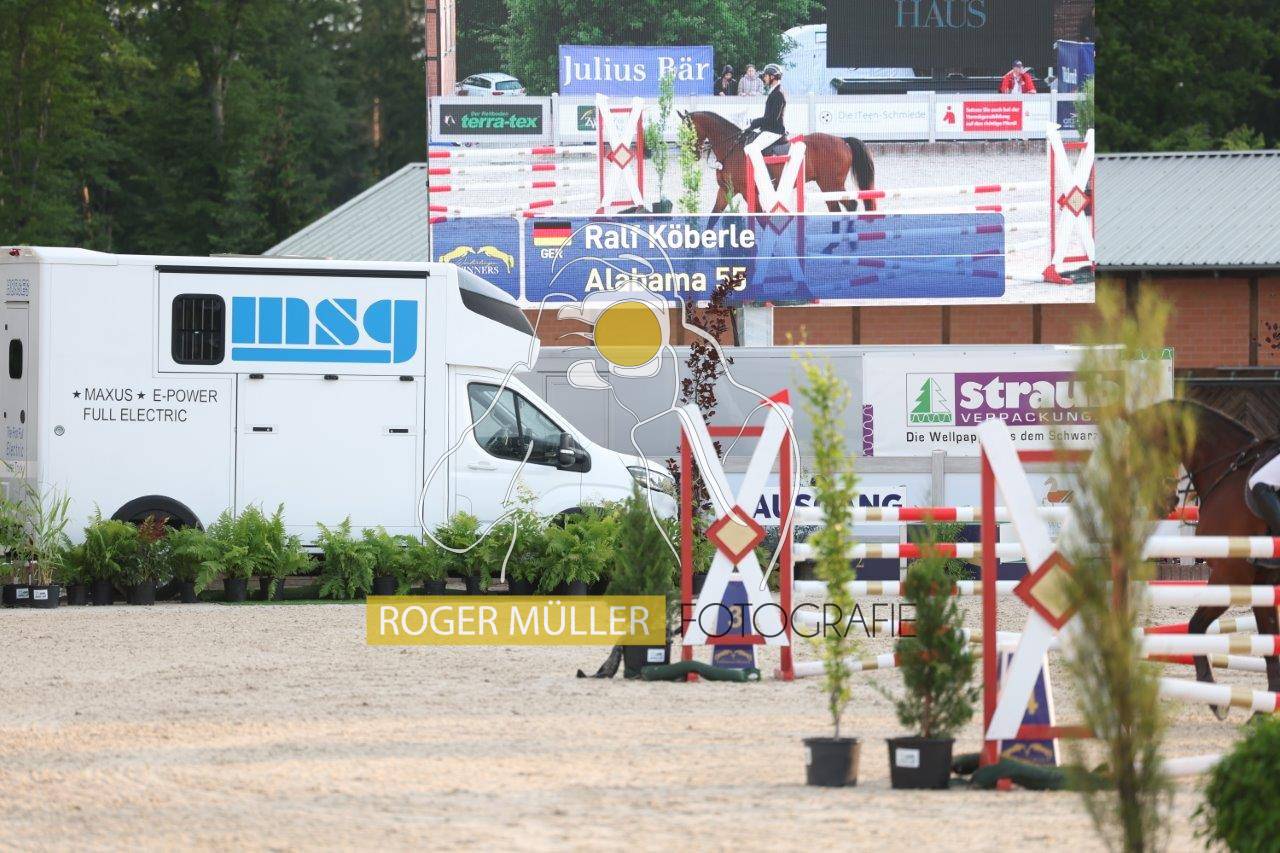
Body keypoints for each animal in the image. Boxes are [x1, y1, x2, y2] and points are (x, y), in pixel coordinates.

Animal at [679, 111, 876, 214]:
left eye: (689, 129)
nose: (691, 154)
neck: (731, 147)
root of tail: (842, 140)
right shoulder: (726, 190)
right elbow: (713, 216)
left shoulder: (746, 191)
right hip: (827, 185)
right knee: (836, 207)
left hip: (831, 184)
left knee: (849, 205)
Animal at [1155, 399, 1280, 718]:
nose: (1166, 502)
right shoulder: (1260, 582)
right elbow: (1269, 642)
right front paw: (1262, 712)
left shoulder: (1230, 574)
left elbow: (1195, 626)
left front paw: (1214, 697)